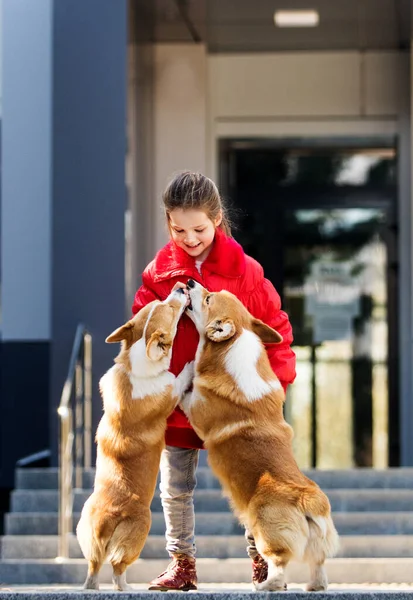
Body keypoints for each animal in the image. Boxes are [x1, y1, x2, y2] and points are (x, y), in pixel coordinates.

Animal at [76, 290, 192, 592]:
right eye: (170, 308)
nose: (180, 288)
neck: (138, 364)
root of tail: (105, 521)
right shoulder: (171, 391)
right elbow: (178, 379)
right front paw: (189, 366)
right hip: (141, 529)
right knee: (118, 566)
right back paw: (126, 588)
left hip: (85, 532)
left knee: (94, 566)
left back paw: (92, 587)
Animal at [182, 280, 336, 592]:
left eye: (207, 298)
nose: (190, 281)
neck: (234, 343)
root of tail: (309, 500)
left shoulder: (196, 409)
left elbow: (184, 387)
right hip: (316, 546)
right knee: (319, 566)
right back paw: (314, 587)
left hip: (267, 533)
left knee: (278, 565)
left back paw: (266, 586)